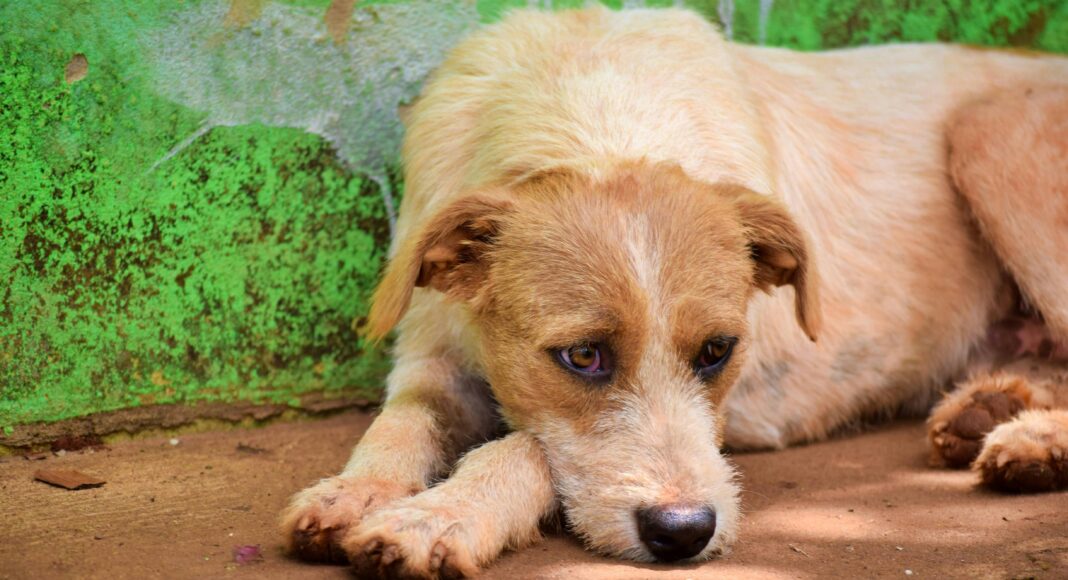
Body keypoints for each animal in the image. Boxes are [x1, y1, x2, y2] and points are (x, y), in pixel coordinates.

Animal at [281, 6, 1068, 578]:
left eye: (718, 351)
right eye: (583, 357)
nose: (683, 533)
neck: (598, 116)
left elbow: (526, 446)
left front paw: (436, 517)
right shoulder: (433, 354)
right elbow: (400, 423)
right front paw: (354, 493)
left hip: (992, 134)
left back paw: (1034, 440)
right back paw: (988, 406)